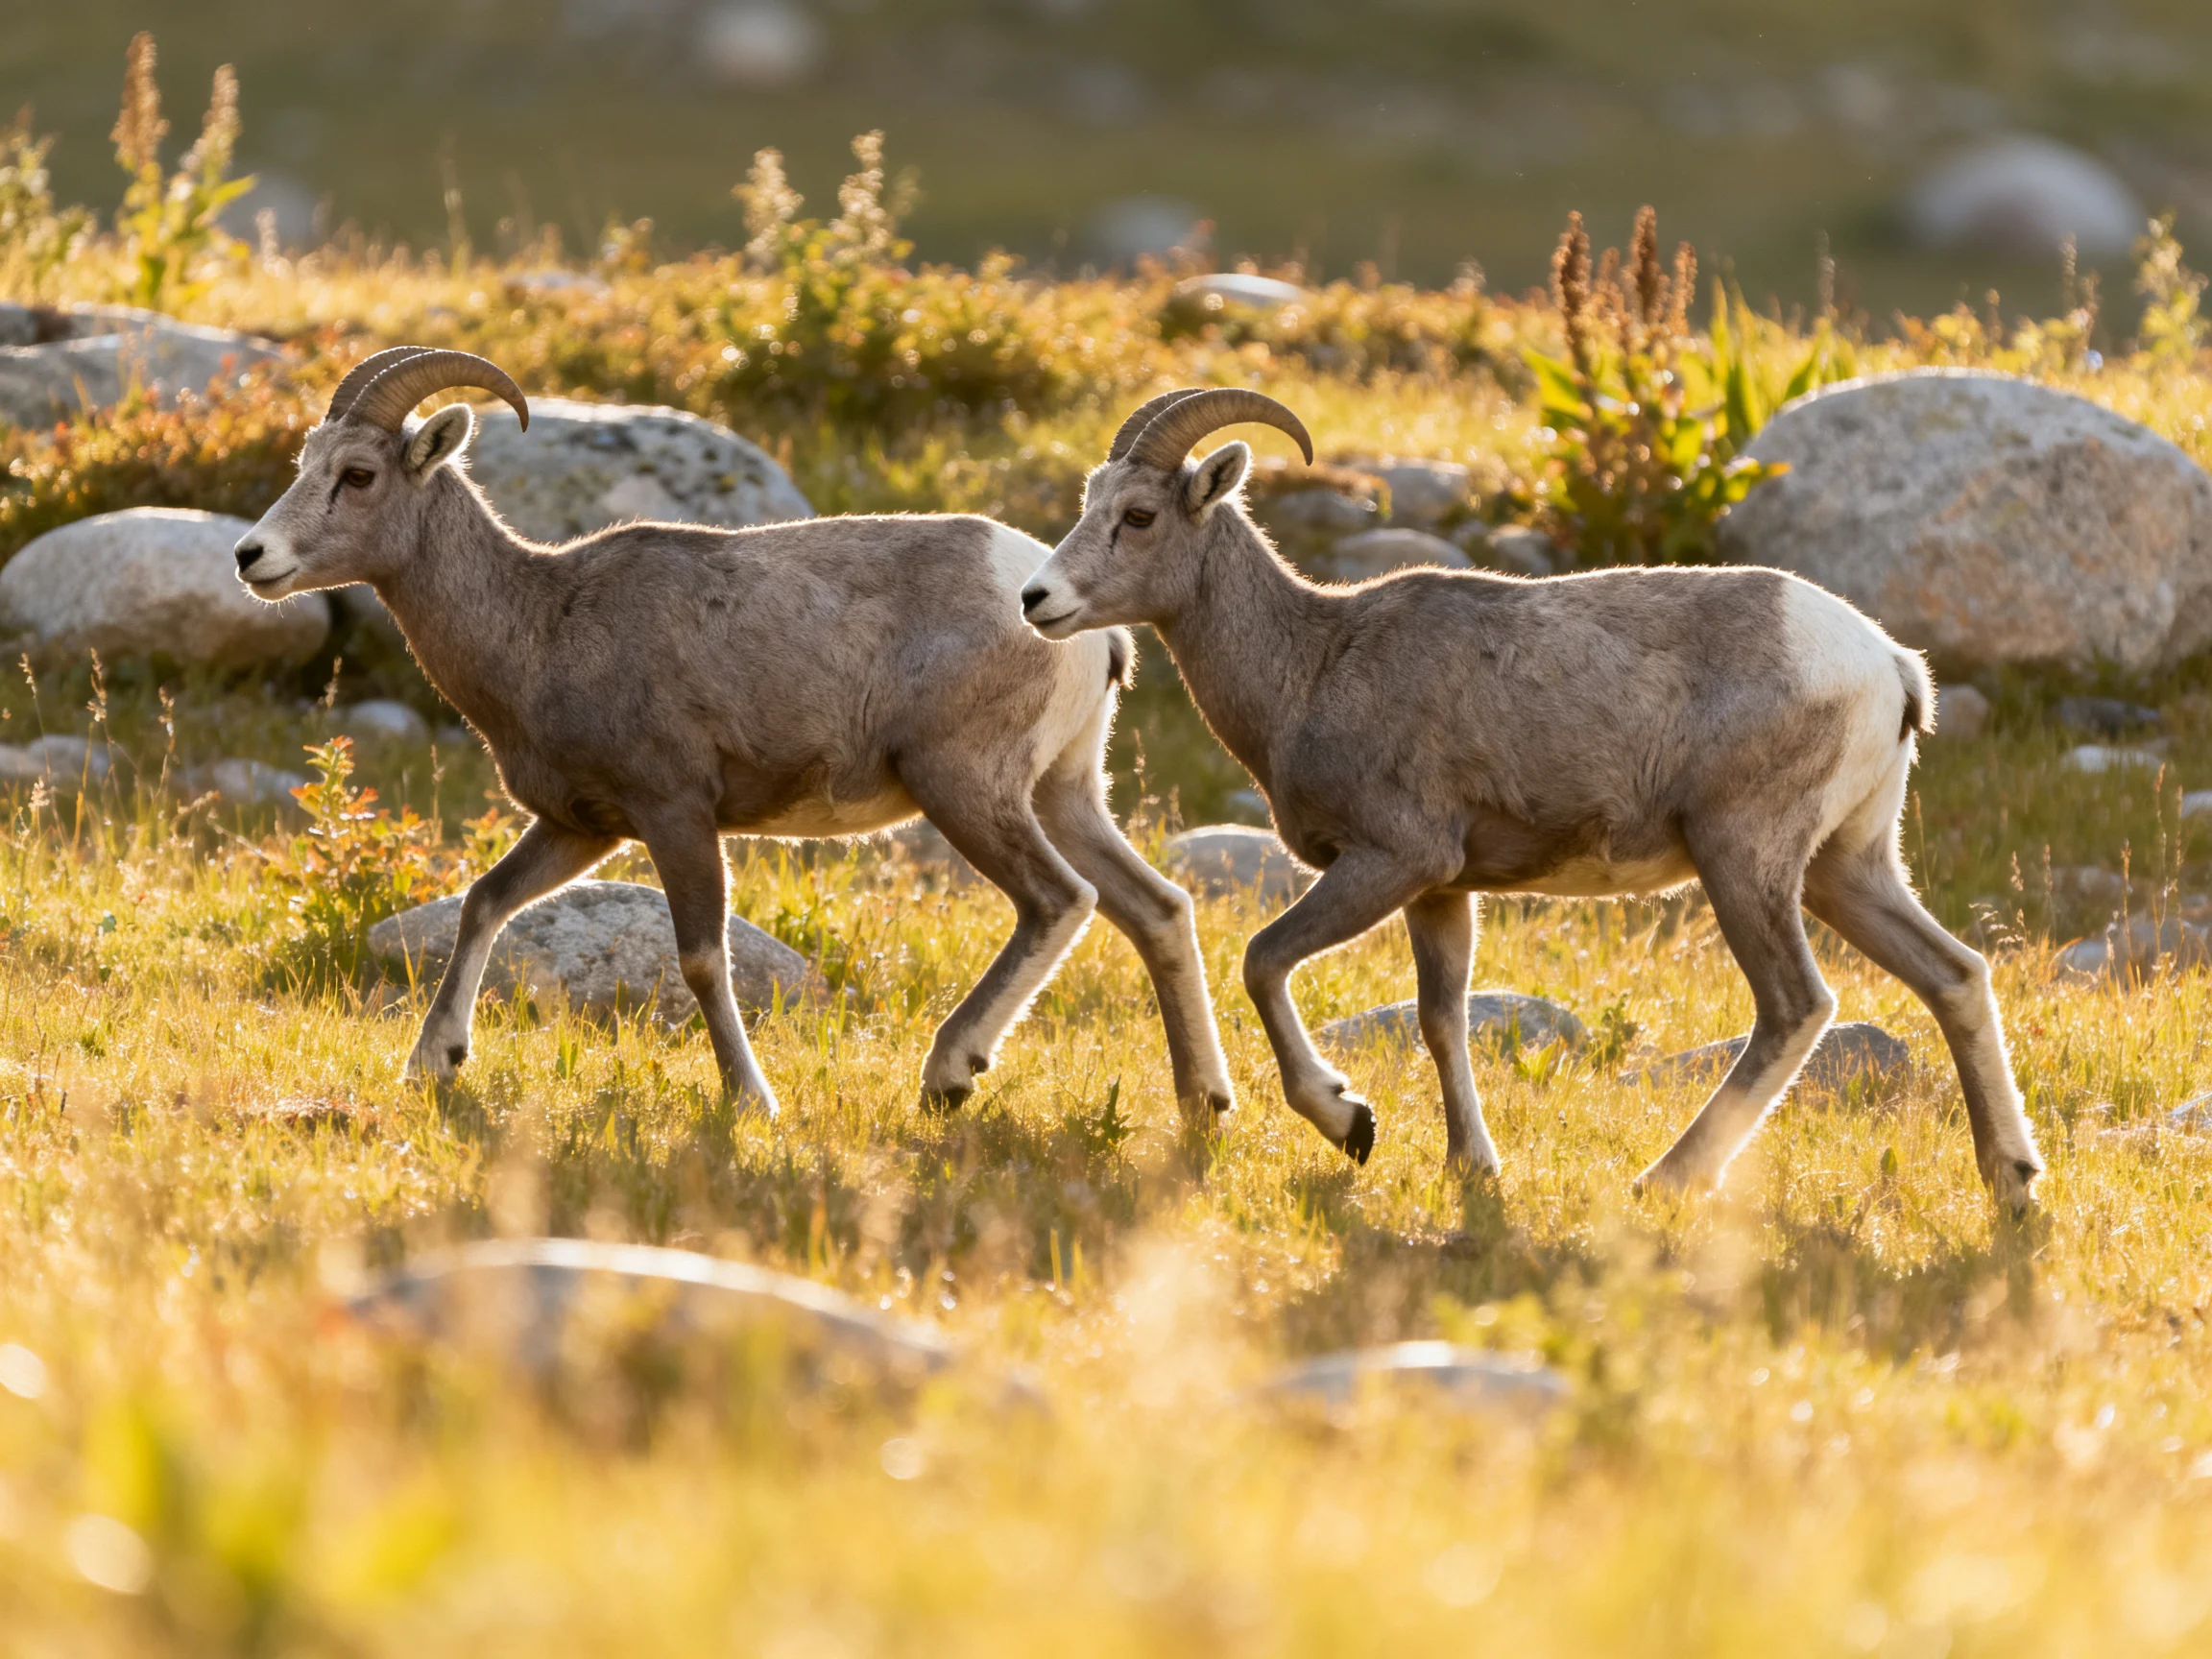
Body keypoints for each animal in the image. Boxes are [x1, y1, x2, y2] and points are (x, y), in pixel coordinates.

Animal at [232, 348, 1234, 1123]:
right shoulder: (580, 827)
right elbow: (484, 900)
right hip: (1064, 792)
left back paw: (951, 1075)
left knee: (1059, 901)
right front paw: (431, 1063)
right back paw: (1204, 1101)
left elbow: (701, 958)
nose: (250, 557)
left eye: (358, 475)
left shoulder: (676, 813)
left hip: (965, 787)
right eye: (307, 460)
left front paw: (751, 1097)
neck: (545, 622)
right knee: (1155, 908)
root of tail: (1055, 605)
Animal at [1018, 387, 2044, 1210]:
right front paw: (1472, 1166)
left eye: (1139, 515)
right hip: (1847, 868)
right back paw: (2013, 1183)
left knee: (1796, 1005)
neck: (1313, 664)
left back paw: (1665, 1180)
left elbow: (1264, 960)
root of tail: (1892, 669)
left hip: (1744, 860)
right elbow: (1441, 1020)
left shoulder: (1393, 860)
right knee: (1954, 975)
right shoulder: (1441, 893)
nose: (1036, 599)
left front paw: (1350, 1122)